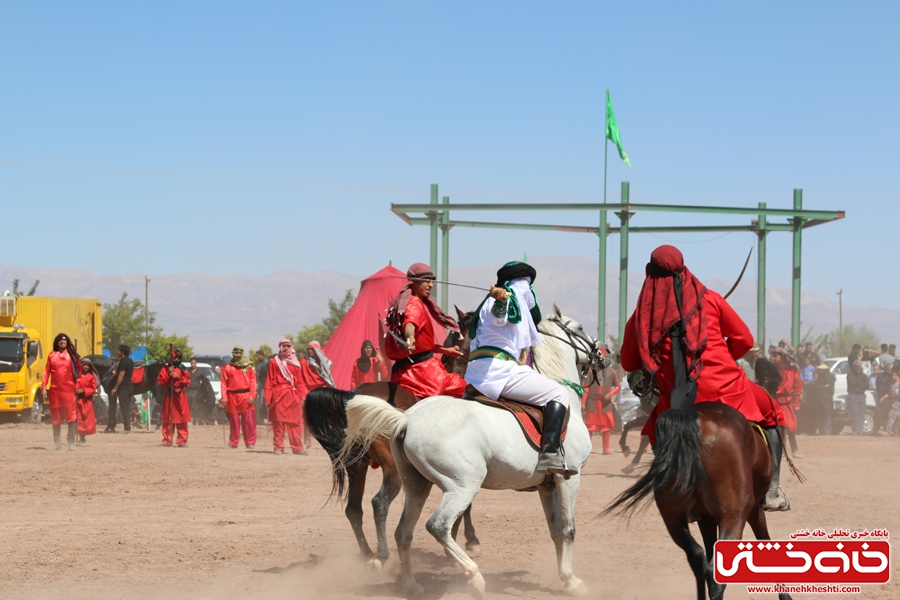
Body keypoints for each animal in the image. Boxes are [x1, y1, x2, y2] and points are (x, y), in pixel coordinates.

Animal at [308, 308, 482, 568]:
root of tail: (354, 395)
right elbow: (466, 505)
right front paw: (469, 541)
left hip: (357, 465)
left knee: (353, 509)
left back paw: (368, 554)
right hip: (392, 468)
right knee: (378, 503)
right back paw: (381, 554)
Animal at [338, 310, 604, 600]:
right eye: (580, 328)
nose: (604, 353)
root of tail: (406, 418)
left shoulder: (547, 486)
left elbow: (555, 530)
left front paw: (565, 578)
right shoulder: (569, 478)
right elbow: (568, 529)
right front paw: (573, 581)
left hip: (416, 485)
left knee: (402, 532)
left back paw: (411, 585)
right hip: (462, 485)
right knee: (437, 525)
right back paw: (473, 576)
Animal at [608, 404, 792, 600]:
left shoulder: (706, 518)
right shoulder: (753, 510)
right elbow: (765, 541)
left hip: (673, 518)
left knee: (697, 556)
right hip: (733, 515)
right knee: (714, 571)